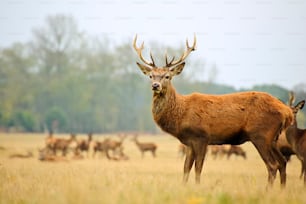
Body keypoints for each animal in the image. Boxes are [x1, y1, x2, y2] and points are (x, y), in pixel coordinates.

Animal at [133, 34, 294, 186]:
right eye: (151, 76)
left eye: (167, 76)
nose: (155, 85)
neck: (181, 113)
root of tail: (287, 112)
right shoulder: (189, 142)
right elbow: (186, 168)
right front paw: (184, 187)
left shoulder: (202, 136)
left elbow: (198, 168)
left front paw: (197, 187)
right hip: (273, 138)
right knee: (282, 162)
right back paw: (282, 190)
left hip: (261, 134)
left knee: (272, 165)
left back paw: (268, 191)